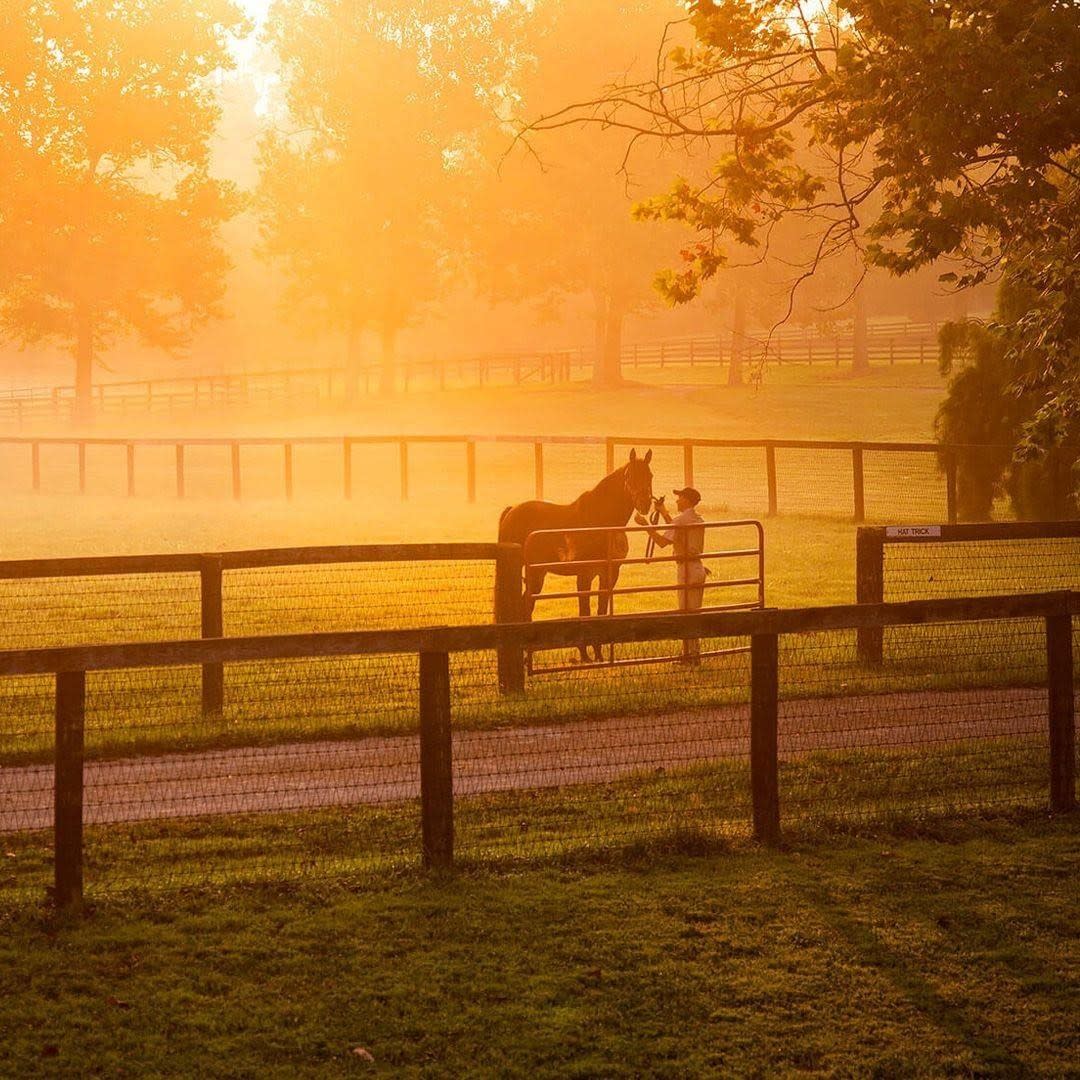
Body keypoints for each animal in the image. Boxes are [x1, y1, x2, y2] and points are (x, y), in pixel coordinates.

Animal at [498, 444, 656, 660]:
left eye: (650, 475)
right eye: (629, 475)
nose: (644, 504)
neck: (602, 523)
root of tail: (512, 510)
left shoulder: (609, 575)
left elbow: (600, 610)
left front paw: (598, 656)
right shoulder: (584, 575)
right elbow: (585, 611)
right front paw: (585, 656)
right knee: (525, 606)